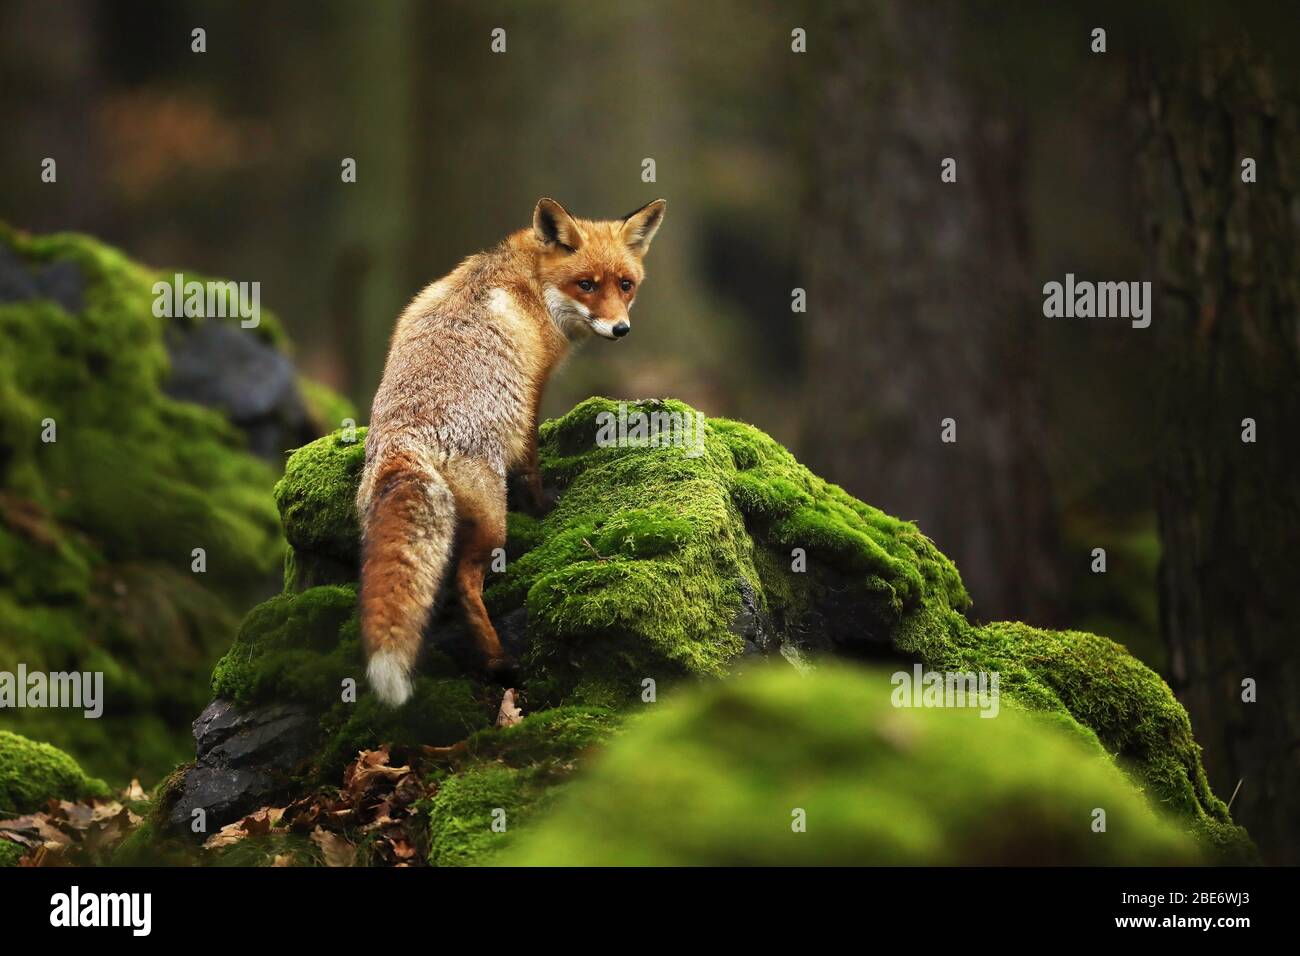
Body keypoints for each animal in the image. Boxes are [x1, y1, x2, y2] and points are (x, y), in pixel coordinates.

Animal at [358, 196, 670, 702]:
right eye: (586, 285)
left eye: (625, 285)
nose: (620, 328)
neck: (530, 282)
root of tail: (405, 438)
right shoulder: (530, 393)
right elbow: (531, 462)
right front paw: (544, 506)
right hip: (492, 523)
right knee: (465, 586)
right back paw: (498, 662)